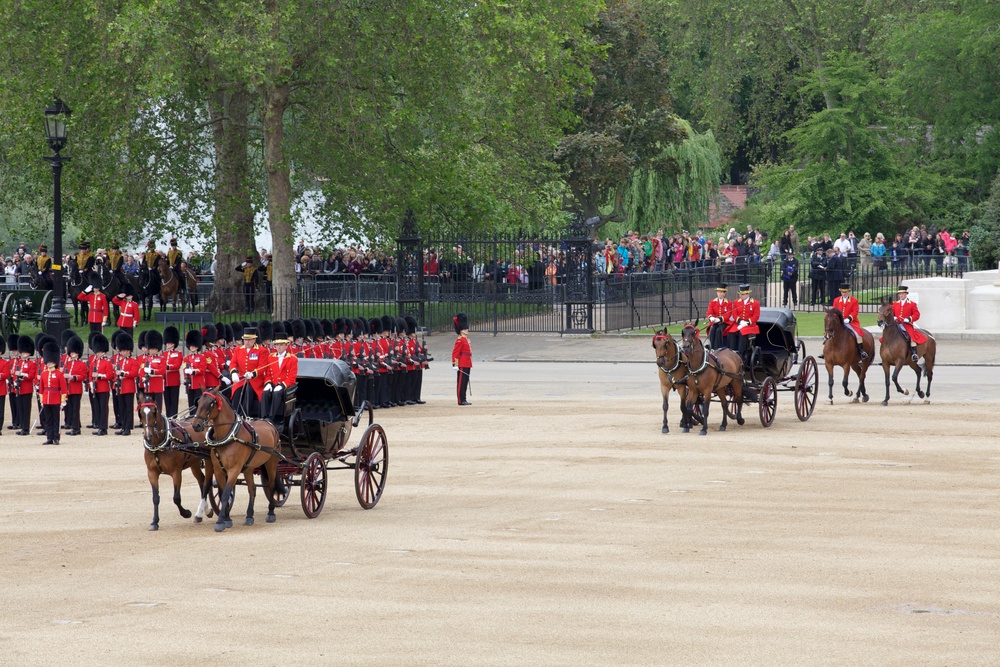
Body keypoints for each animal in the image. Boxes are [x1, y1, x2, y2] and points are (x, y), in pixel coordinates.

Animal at [138, 396, 216, 532]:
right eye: (141, 413)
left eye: (154, 411)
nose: (148, 436)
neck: (160, 445)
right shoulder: (152, 473)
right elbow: (155, 498)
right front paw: (154, 522)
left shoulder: (176, 472)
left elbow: (176, 498)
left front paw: (186, 513)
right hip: (194, 462)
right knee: (202, 480)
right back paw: (204, 511)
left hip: (209, 460)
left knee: (207, 483)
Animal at [191, 388, 286, 536]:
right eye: (198, 402)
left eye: (211, 403)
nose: (196, 425)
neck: (229, 436)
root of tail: (270, 424)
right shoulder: (218, 470)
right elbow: (223, 493)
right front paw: (227, 519)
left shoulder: (234, 470)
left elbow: (225, 494)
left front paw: (220, 522)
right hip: (249, 467)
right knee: (252, 488)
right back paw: (249, 516)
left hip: (271, 463)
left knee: (271, 485)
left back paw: (271, 513)